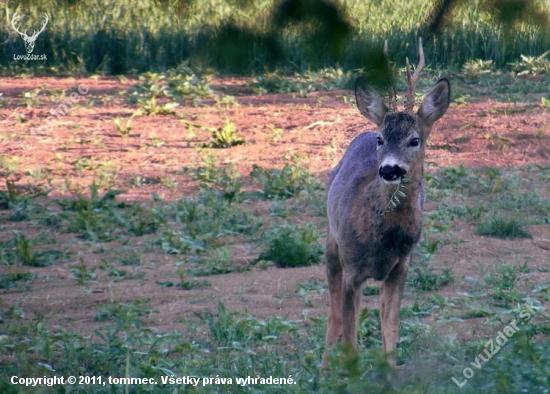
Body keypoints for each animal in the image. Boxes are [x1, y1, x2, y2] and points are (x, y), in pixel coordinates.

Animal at [324, 38, 452, 368]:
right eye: (381, 140)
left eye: (415, 140)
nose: (389, 169)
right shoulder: (352, 267)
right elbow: (350, 337)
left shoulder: (401, 266)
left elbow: (391, 326)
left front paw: (390, 372)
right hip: (331, 244)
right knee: (334, 317)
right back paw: (323, 370)